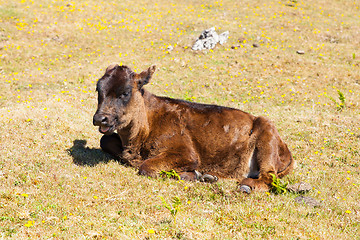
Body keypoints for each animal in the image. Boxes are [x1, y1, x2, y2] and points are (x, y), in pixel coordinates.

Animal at [93, 64, 296, 194]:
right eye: (98, 90)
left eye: (125, 92)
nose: (100, 118)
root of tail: (286, 151)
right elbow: (106, 140)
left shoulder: (186, 154)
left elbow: (146, 166)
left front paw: (196, 174)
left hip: (266, 137)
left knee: (269, 177)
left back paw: (245, 185)